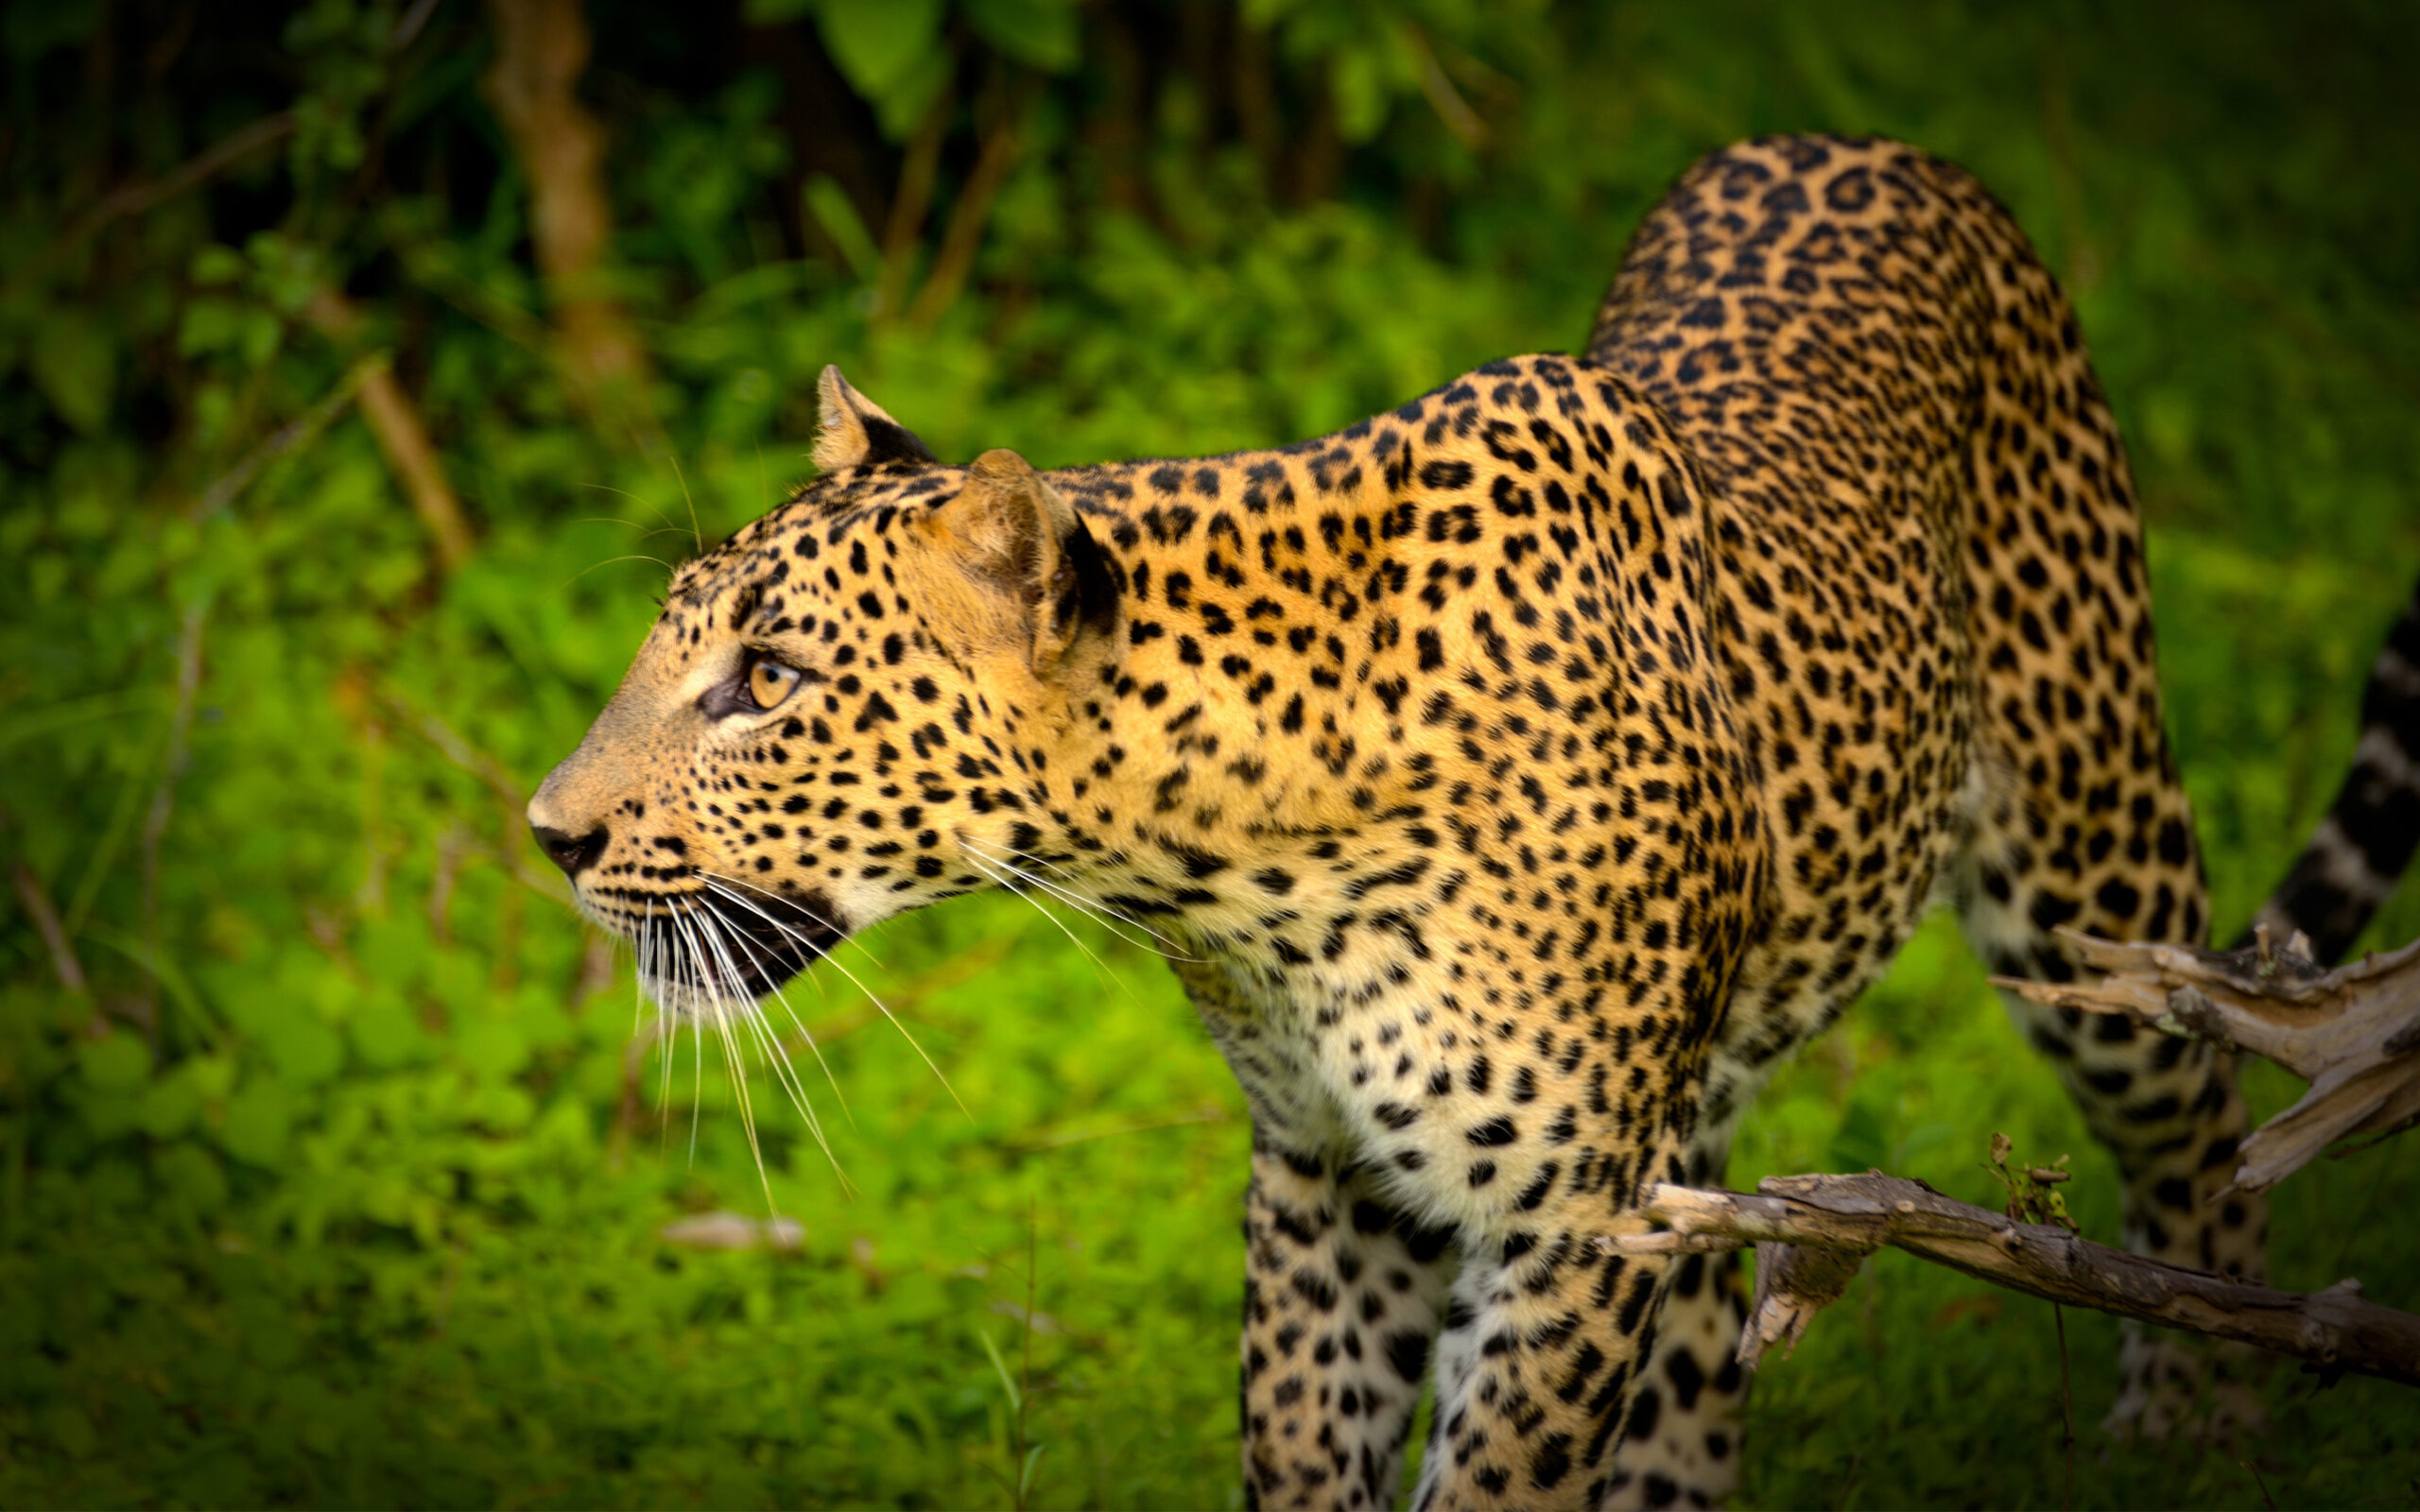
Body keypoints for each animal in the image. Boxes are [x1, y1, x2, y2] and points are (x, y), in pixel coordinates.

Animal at [525, 134, 2420, 1510]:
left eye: (768, 680)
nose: (547, 835)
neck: (1238, 872)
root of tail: (1871, 144)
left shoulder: (1568, 1223)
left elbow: (1496, 1483)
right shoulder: (1328, 1171)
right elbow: (1306, 1447)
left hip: (2085, 858)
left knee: (2205, 1135)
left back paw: (2199, 1437)